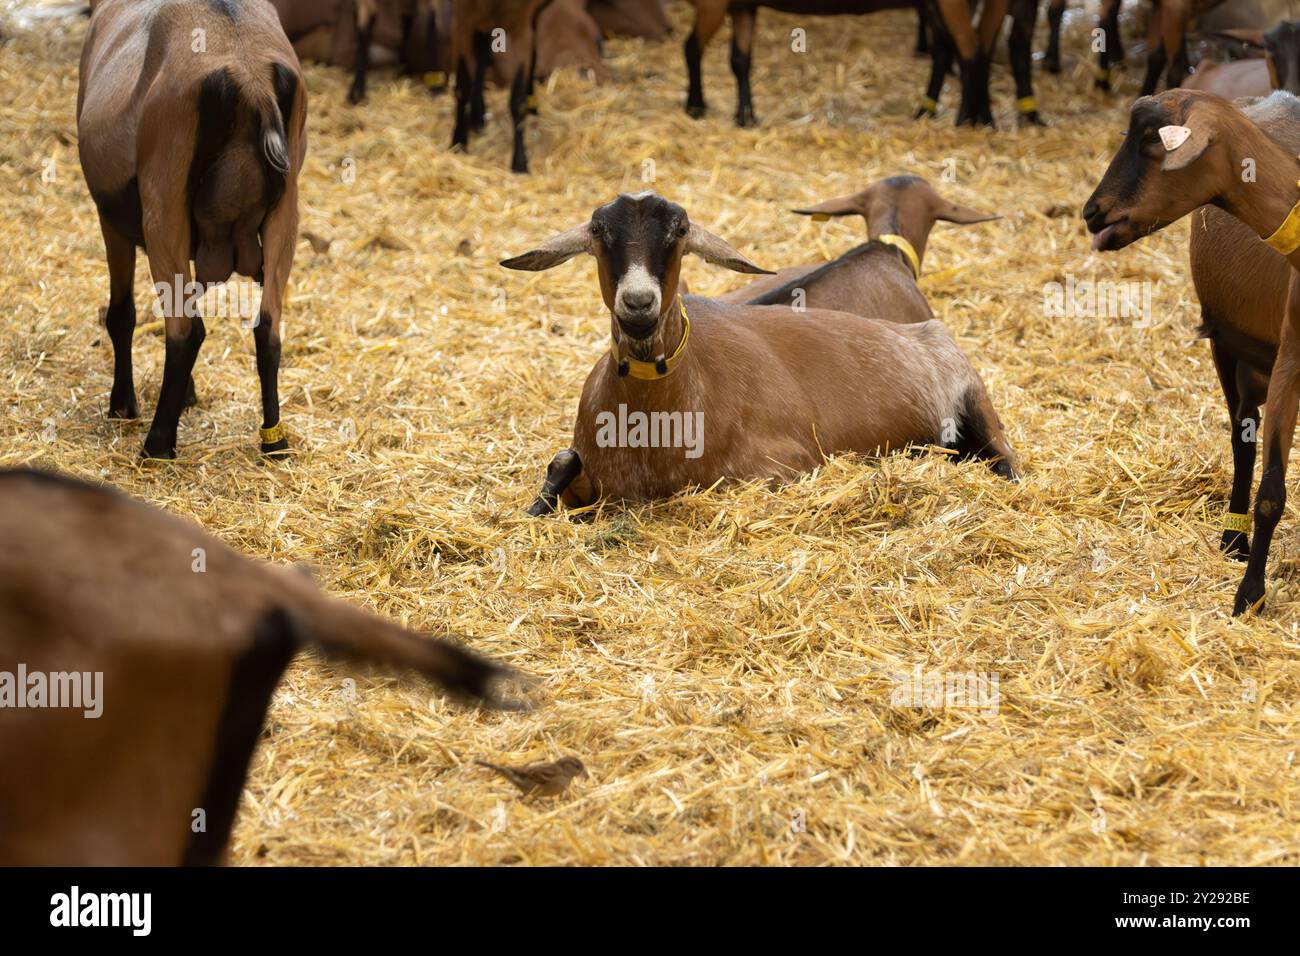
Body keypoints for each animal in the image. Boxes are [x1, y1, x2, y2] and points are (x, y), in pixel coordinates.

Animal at [79, 0, 306, 460]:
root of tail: (251, 79)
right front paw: (187, 396)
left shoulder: (113, 218)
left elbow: (122, 314)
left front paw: (123, 405)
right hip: (285, 215)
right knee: (267, 330)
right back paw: (274, 440)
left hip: (163, 210)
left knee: (185, 331)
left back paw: (157, 445)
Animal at [1086, 87, 1300, 613]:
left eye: (1150, 139)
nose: (1092, 213)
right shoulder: (1288, 360)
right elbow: (1271, 490)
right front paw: (1249, 595)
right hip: (1228, 348)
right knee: (1243, 440)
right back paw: (1233, 540)